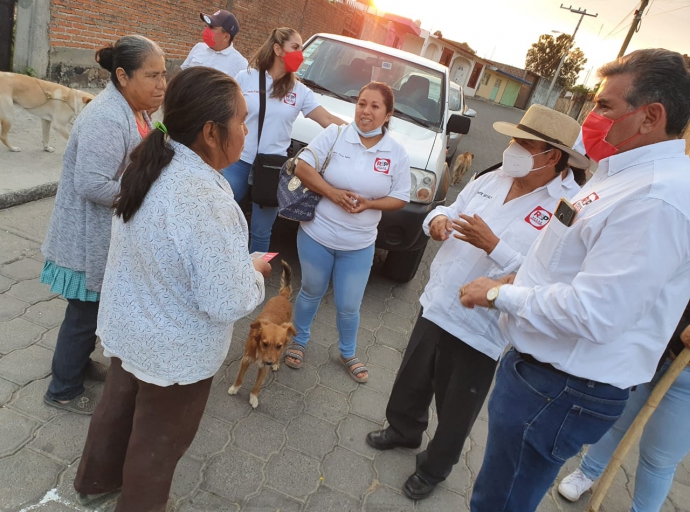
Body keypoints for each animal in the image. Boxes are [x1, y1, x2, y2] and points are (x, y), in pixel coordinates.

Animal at [227, 260, 294, 408]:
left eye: (278, 346)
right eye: (264, 343)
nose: (269, 362)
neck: (259, 351)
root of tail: (282, 296)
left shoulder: (264, 368)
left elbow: (257, 385)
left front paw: (253, 397)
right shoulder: (246, 360)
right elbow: (239, 377)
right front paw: (234, 388)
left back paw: (277, 364)